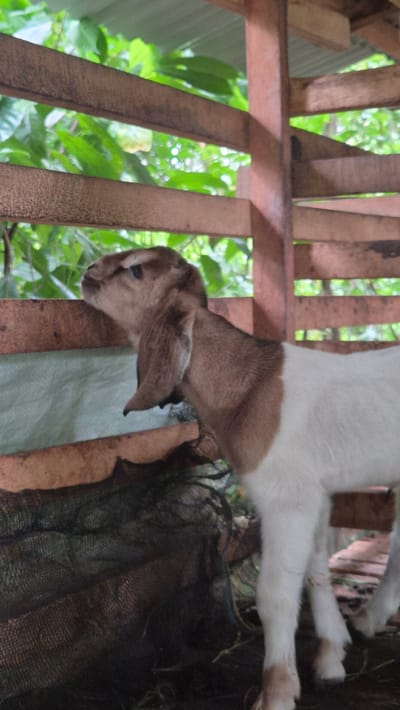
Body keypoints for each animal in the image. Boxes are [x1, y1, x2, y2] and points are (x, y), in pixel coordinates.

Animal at [81, 246, 400, 710]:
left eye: (136, 271)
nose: (88, 273)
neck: (249, 385)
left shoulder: (287, 498)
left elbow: (275, 594)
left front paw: (277, 690)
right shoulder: (314, 492)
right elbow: (315, 567)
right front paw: (330, 657)